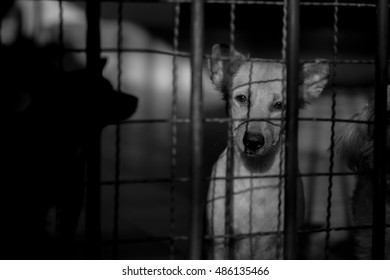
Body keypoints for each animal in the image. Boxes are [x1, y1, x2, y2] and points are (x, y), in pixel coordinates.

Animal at [207, 44, 330, 260]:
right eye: (242, 99)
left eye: (279, 105)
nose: (252, 142)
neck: (256, 176)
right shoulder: (219, 242)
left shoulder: (285, 242)